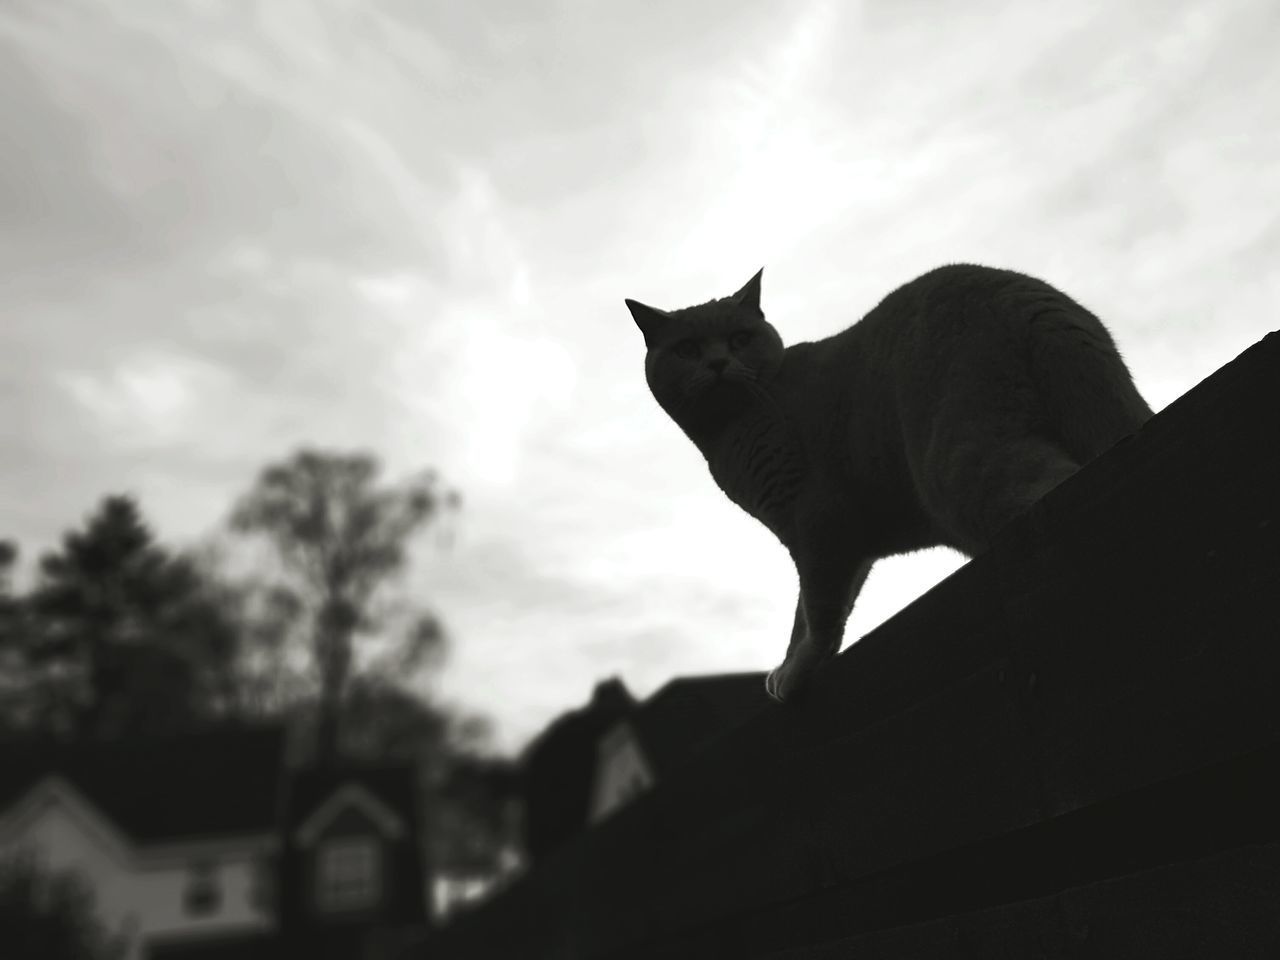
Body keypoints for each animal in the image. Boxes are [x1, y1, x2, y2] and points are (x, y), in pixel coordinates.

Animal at [624, 267, 1157, 701]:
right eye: (688, 349)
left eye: (739, 339)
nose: (716, 364)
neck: (732, 430)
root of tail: (1020, 295)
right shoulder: (838, 542)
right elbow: (808, 609)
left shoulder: (815, 519)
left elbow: (816, 608)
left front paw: (797, 672)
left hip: (958, 468)